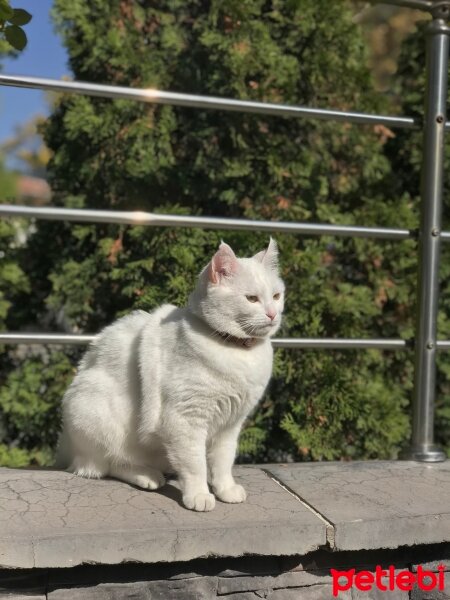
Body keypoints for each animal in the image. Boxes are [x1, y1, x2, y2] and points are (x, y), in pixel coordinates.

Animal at [58, 239, 284, 510]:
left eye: (276, 296)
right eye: (251, 299)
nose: (272, 314)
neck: (237, 352)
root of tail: (68, 447)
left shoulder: (230, 424)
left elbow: (223, 461)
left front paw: (226, 489)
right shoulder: (185, 420)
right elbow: (196, 464)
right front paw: (198, 495)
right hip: (98, 412)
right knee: (109, 465)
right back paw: (147, 476)